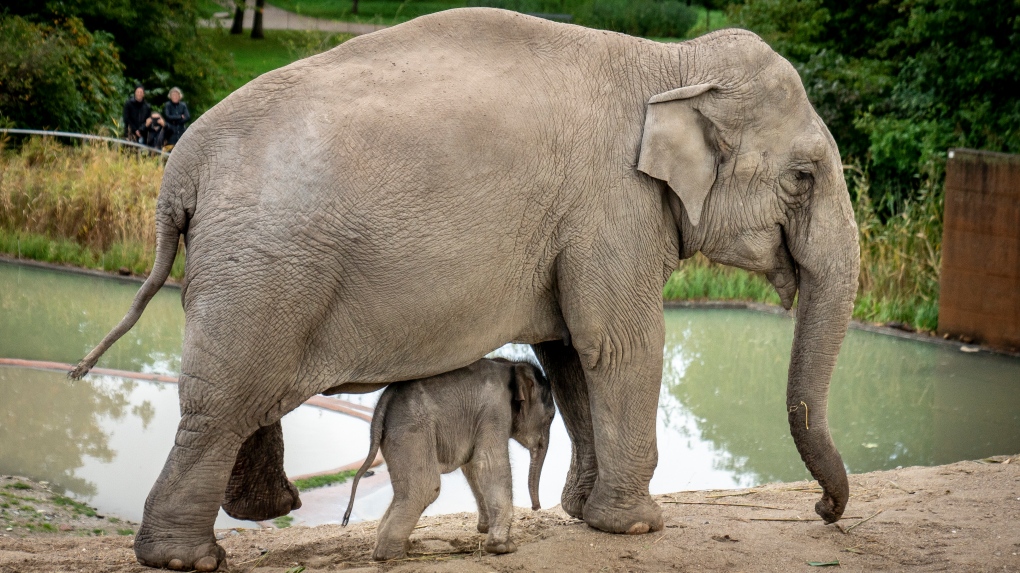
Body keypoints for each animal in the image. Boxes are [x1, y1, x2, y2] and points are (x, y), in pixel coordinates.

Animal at [342, 356, 554, 558]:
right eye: (551, 417)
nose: (536, 507)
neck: (511, 365)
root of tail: (381, 404)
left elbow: (471, 466)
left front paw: (485, 530)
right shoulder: (495, 410)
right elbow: (488, 463)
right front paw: (503, 548)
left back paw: (398, 548)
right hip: (412, 431)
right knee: (426, 487)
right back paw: (390, 555)